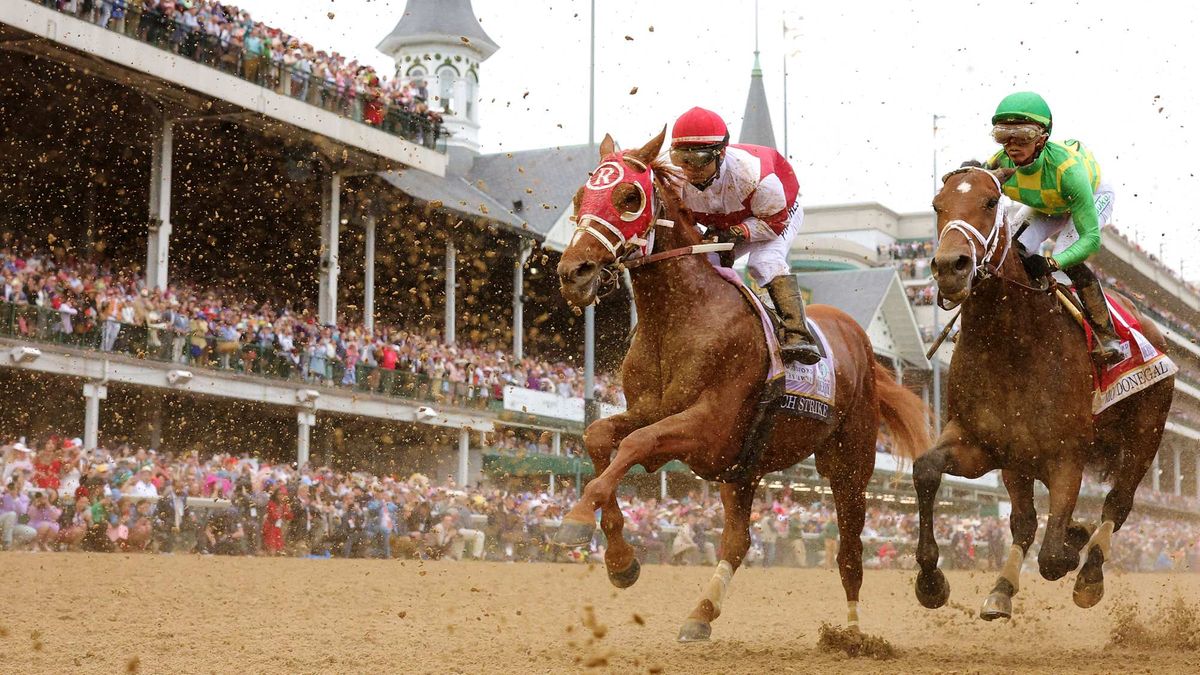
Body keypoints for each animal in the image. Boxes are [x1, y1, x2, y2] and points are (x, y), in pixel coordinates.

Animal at [552, 128, 926, 638]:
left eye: (630, 196)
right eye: (579, 197)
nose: (574, 272)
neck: (680, 318)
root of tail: (861, 340)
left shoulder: (709, 426)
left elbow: (634, 445)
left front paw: (574, 520)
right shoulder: (656, 413)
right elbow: (598, 435)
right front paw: (621, 561)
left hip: (849, 464)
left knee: (850, 549)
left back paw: (851, 632)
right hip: (742, 470)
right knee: (738, 540)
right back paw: (700, 614)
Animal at [916, 165, 1171, 619]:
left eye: (990, 202)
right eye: (937, 205)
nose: (950, 266)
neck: (1012, 345)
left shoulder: (1067, 455)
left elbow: (1053, 556)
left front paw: (1073, 543)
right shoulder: (983, 445)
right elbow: (925, 468)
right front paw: (930, 582)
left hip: (1146, 436)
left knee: (1117, 504)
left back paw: (1089, 575)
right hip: (1020, 465)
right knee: (1025, 522)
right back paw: (1003, 587)